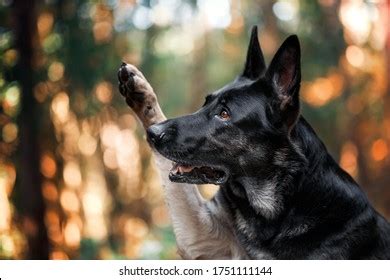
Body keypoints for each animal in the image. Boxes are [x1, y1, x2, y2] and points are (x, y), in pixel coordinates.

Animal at [117, 26, 390, 260]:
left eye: (224, 114)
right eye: (205, 104)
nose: (153, 134)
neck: (274, 212)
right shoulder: (202, 239)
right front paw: (141, 94)